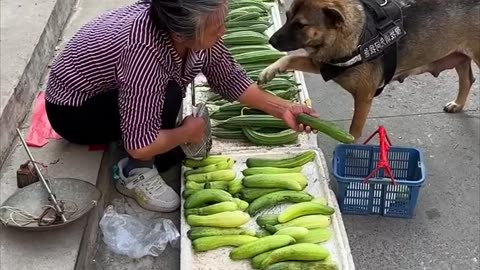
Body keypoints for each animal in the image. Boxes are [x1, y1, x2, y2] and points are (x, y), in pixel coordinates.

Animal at [260, 0, 478, 139]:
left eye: (300, 25)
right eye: (287, 17)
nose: (271, 40)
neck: (356, 36)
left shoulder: (364, 96)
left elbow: (354, 130)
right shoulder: (322, 65)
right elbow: (292, 57)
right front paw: (270, 70)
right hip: (460, 57)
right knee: (467, 80)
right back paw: (458, 104)